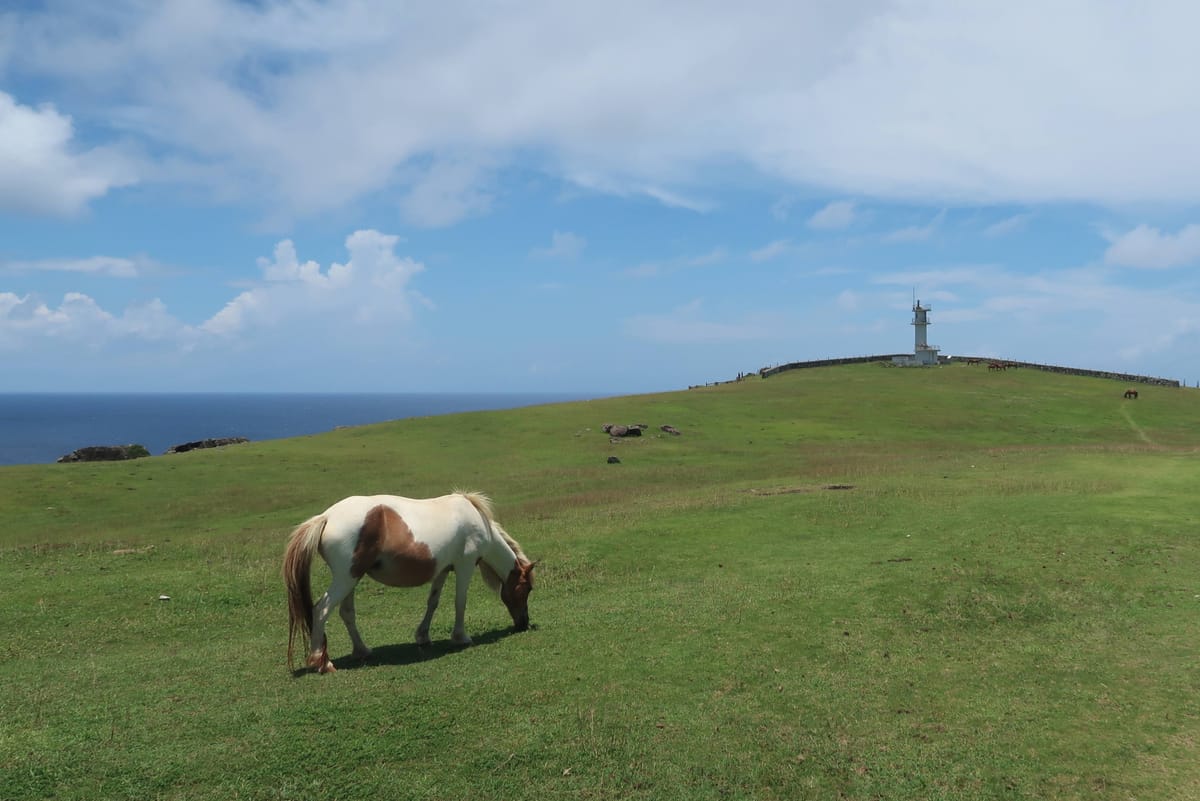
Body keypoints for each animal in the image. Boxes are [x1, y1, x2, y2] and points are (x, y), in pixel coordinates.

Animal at [282, 491, 535, 671]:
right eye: (527, 588)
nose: (523, 623)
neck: (475, 518)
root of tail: (326, 517)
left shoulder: (443, 570)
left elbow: (433, 602)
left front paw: (423, 636)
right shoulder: (465, 565)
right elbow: (460, 602)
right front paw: (461, 637)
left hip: (351, 579)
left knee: (347, 613)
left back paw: (361, 650)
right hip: (346, 578)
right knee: (321, 610)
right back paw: (321, 661)